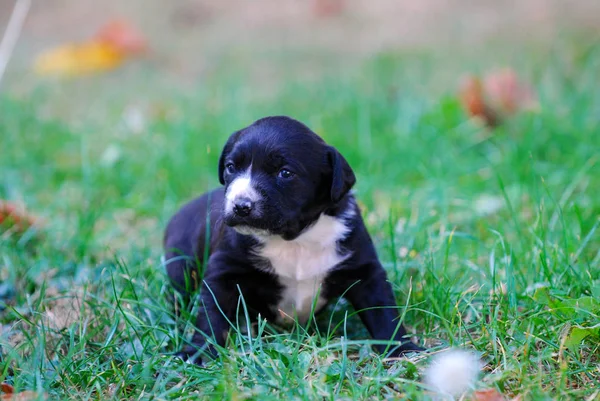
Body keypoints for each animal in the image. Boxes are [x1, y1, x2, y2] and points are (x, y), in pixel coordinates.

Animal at [164, 115, 424, 362]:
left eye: (285, 173)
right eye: (230, 167)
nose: (241, 206)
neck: (294, 239)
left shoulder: (363, 269)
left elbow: (383, 312)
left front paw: (402, 348)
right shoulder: (223, 271)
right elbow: (212, 316)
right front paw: (198, 351)